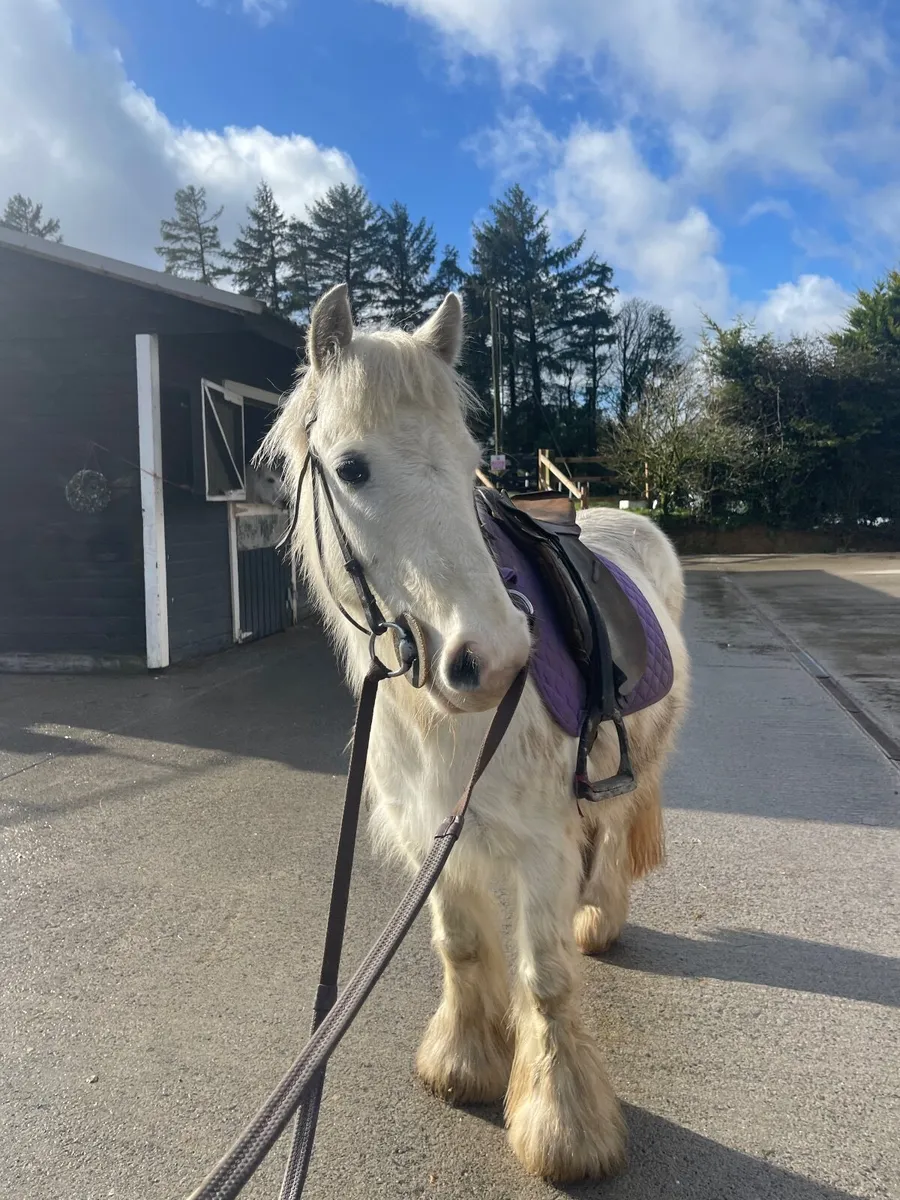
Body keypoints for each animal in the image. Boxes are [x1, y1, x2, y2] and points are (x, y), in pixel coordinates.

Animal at [261, 284, 690, 1183]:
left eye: (469, 466)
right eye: (351, 468)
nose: (493, 658)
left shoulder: (535, 846)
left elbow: (547, 979)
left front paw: (565, 1130)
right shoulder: (435, 834)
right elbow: (461, 948)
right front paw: (466, 1064)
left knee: (614, 831)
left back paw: (599, 917)